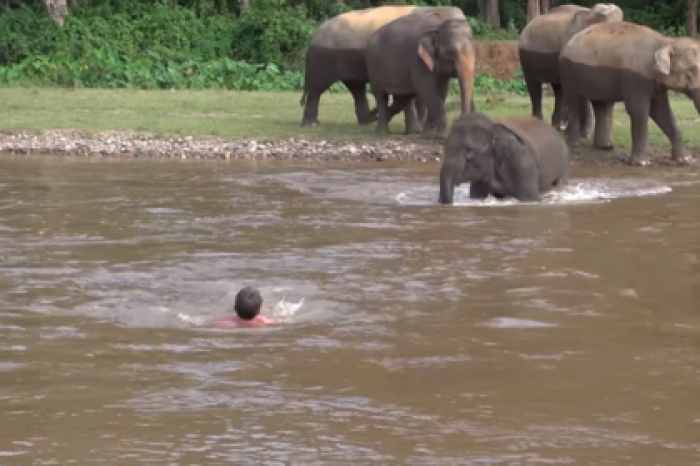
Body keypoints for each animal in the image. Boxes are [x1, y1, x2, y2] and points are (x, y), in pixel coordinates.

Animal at [300, 5, 464, 127]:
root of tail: (313, 36)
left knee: (356, 88)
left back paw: (368, 121)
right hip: (323, 58)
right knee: (317, 87)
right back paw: (312, 124)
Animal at [440, 112, 572, 204]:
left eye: (469, 151)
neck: (493, 127)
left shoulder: (523, 163)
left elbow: (530, 198)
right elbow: (477, 196)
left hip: (565, 160)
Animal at [516, 3, 624, 134]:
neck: (588, 13)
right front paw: (586, 134)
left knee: (558, 89)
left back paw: (558, 125)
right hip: (525, 57)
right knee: (534, 85)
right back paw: (541, 122)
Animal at [560, 22, 700, 167]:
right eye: (691, 71)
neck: (666, 41)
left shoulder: (655, 84)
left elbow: (662, 111)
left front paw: (684, 160)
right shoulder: (635, 78)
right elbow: (638, 110)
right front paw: (642, 163)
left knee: (601, 105)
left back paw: (605, 147)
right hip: (569, 73)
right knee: (574, 102)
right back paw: (574, 143)